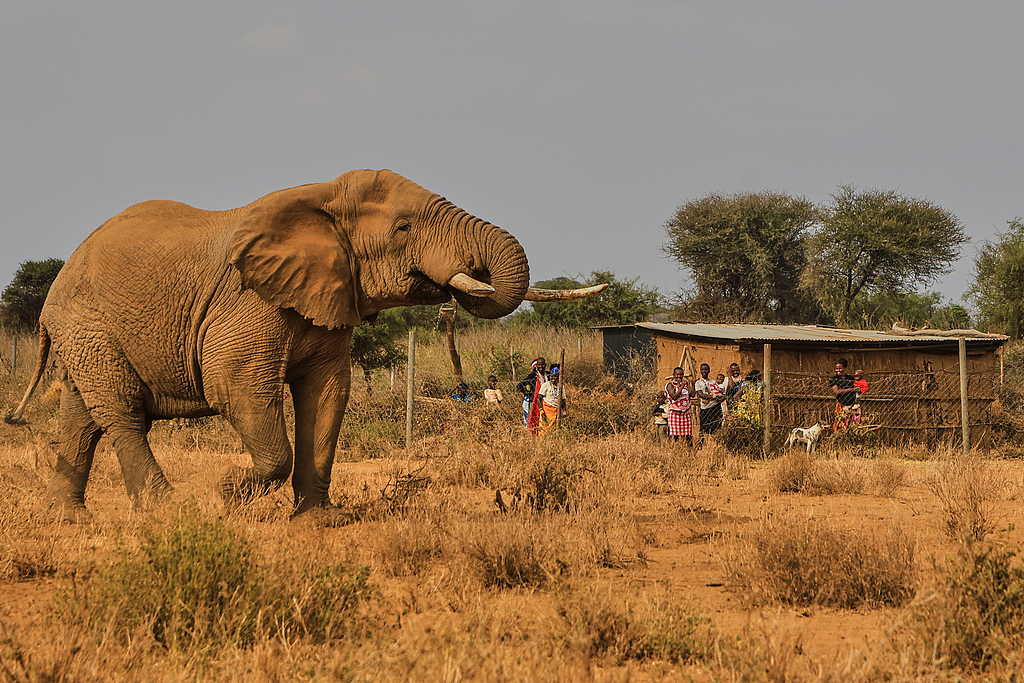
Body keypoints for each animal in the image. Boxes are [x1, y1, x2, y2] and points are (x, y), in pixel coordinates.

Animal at [6, 169, 602, 522]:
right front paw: (224, 495)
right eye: (403, 228)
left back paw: (69, 519)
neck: (321, 198)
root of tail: (58, 280)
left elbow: (327, 394)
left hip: (88, 332)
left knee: (84, 415)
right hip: (88, 323)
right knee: (123, 414)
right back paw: (167, 512)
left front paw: (319, 520)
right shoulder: (250, 301)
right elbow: (237, 388)